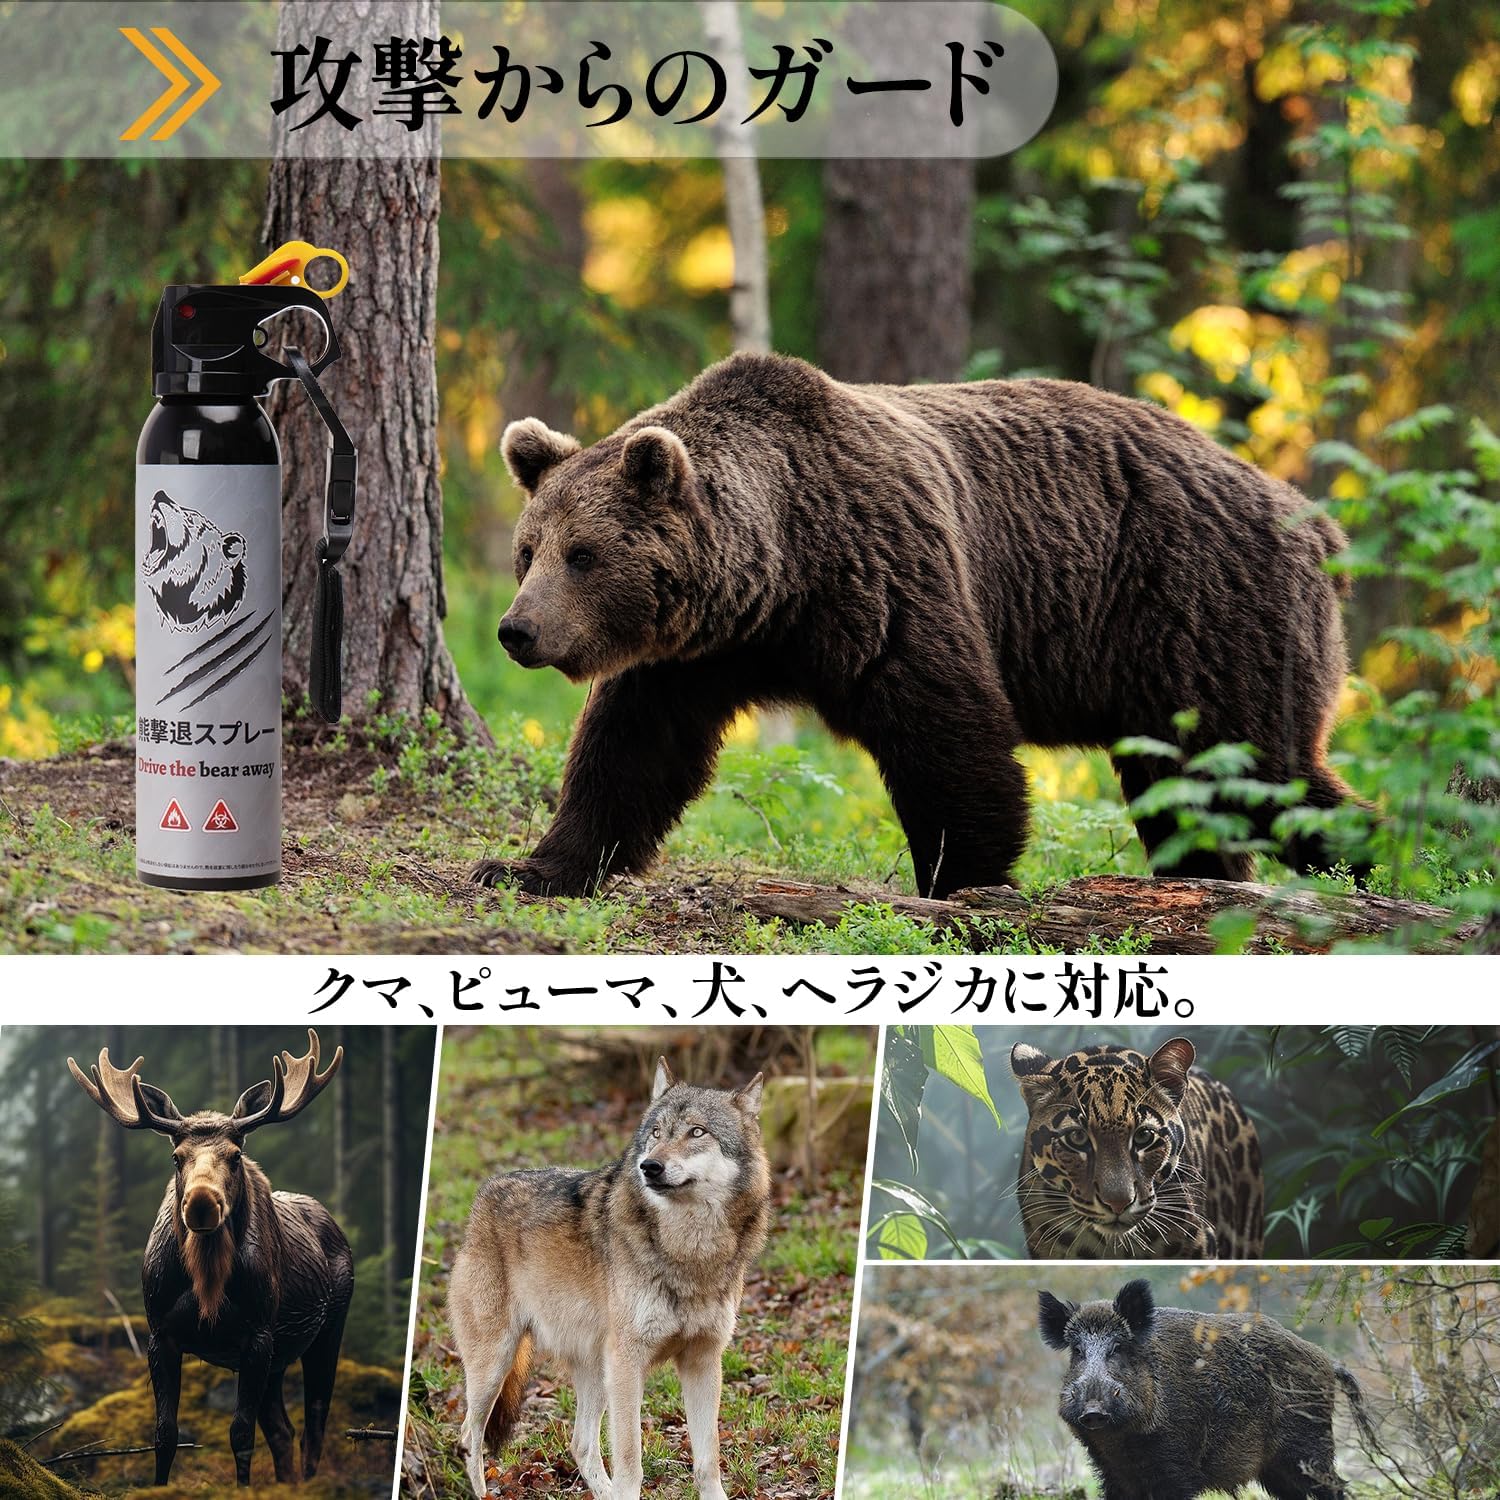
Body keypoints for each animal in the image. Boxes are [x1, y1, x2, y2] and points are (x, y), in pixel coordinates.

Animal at [473, 351, 1360, 899]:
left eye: (584, 554)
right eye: (528, 551)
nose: (518, 630)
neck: (777, 574)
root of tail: (1312, 521)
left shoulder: (884, 578)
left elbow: (947, 730)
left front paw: (963, 878)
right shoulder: (692, 655)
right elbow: (632, 754)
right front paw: (530, 867)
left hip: (1200, 614)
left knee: (1257, 768)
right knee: (1193, 790)